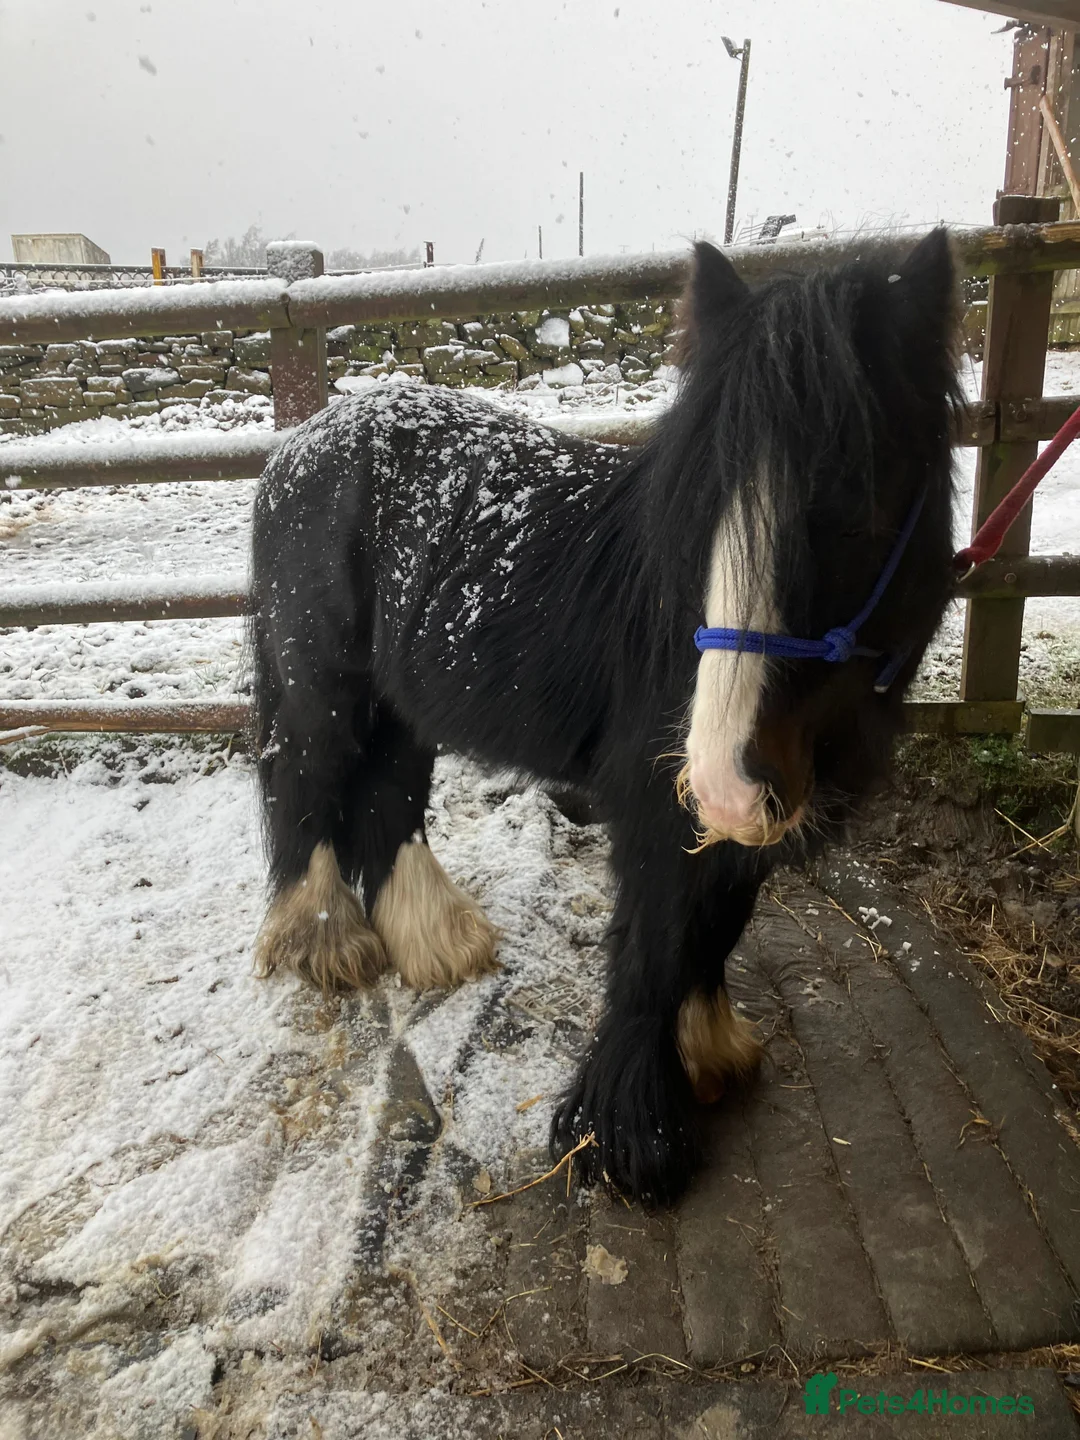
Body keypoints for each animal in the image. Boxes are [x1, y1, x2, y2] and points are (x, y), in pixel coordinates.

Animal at [248, 229, 959, 1202]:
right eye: (703, 505)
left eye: (863, 508)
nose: (726, 777)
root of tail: (298, 447)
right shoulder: (662, 810)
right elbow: (653, 949)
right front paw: (630, 1140)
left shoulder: (739, 829)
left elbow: (712, 933)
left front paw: (711, 1054)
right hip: (323, 688)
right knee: (306, 781)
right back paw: (325, 941)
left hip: (402, 703)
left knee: (387, 796)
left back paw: (436, 940)